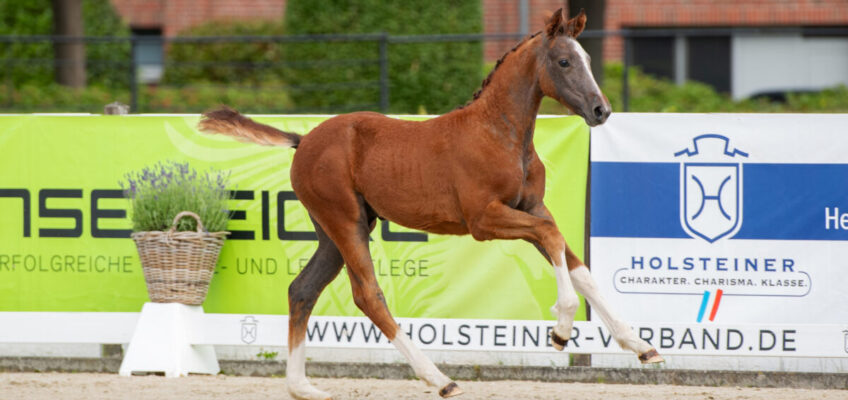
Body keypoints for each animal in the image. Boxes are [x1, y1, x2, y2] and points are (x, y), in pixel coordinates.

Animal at [199, 8, 663, 400]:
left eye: (587, 57)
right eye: (564, 62)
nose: (601, 110)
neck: (500, 135)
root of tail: (303, 140)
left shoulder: (530, 208)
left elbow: (576, 265)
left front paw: (641, 345)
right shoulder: (485, 219)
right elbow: (554, 242)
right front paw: (562, 330)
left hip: (335, 230)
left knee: (302, 289)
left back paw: (302, 387)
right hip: (345, 222)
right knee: (368, 294)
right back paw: (439, 379)